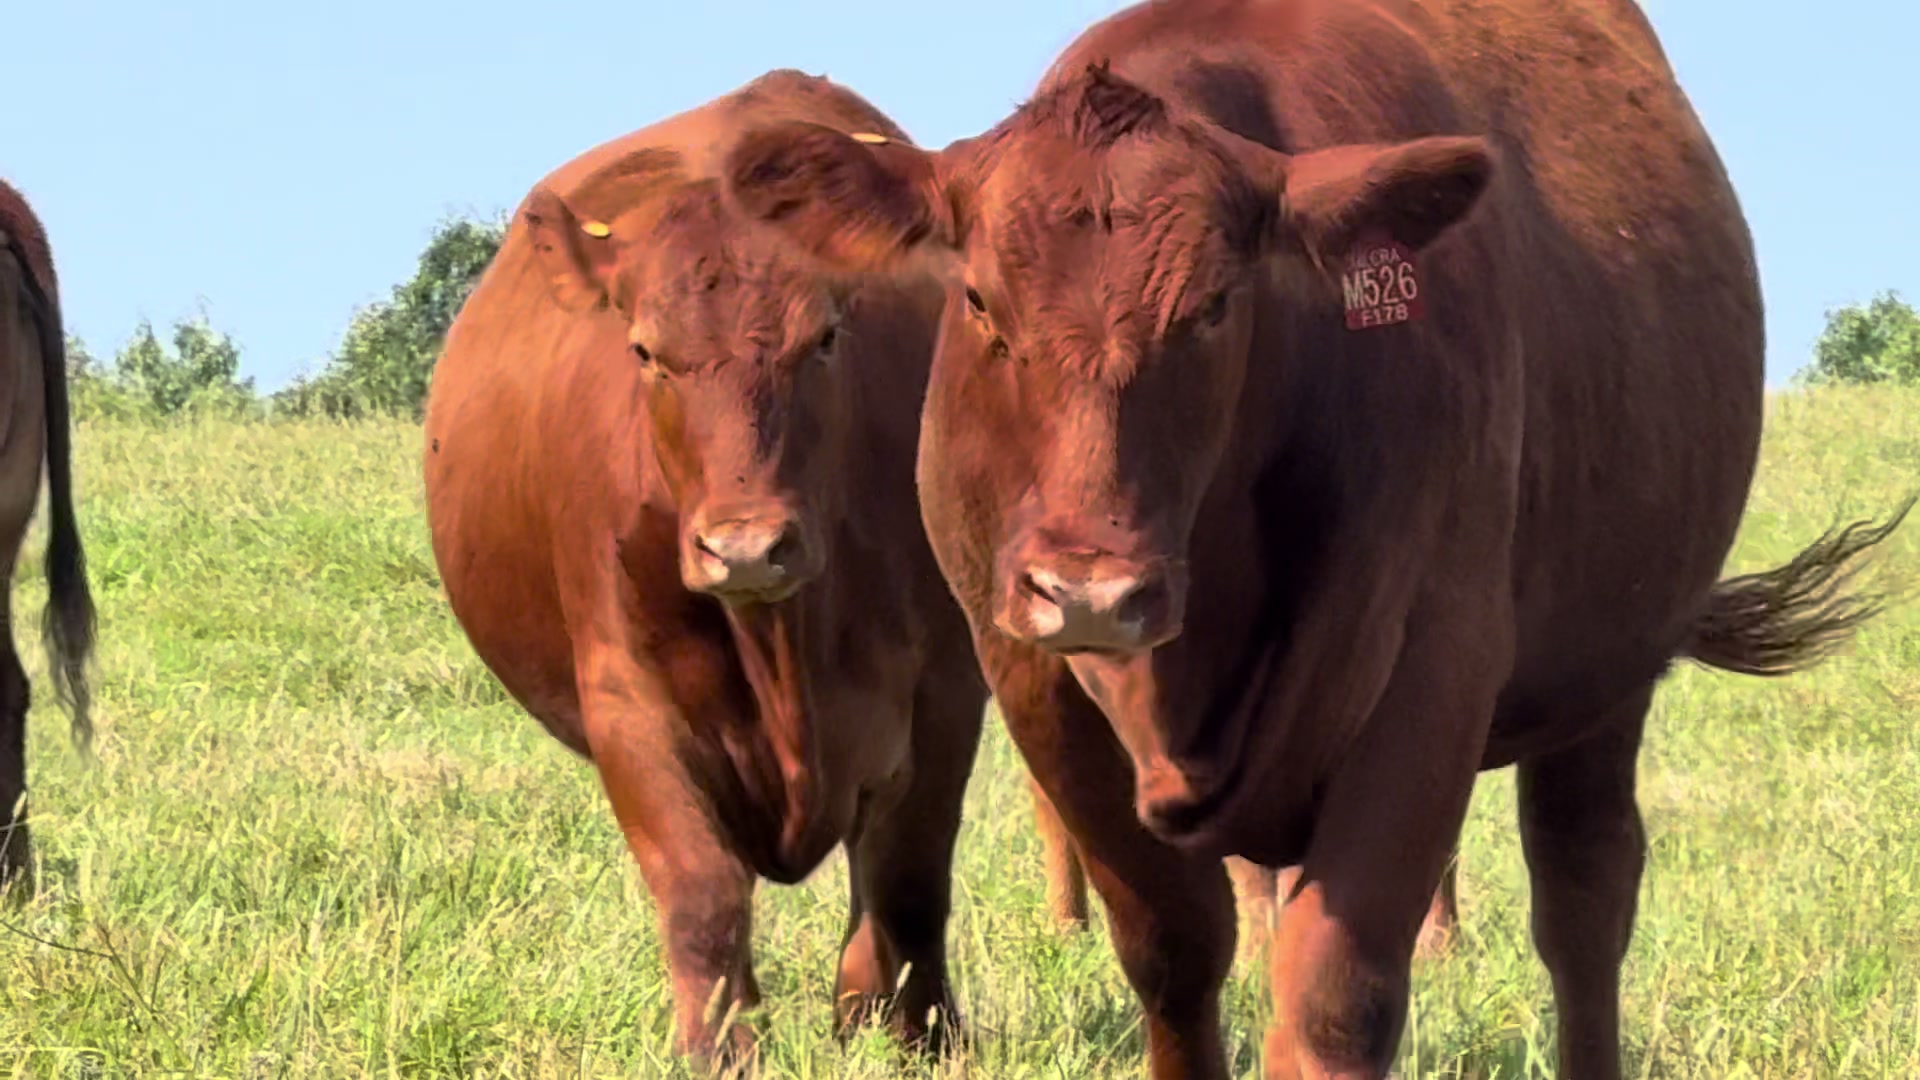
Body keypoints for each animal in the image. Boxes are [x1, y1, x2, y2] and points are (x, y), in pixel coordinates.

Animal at [421, 71, 991, 1065]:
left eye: (827, 338)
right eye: (646, 351)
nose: (745, 547)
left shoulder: (946, 694)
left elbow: (910, 889)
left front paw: (917, 1039)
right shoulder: (630, 704)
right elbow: (702, 896)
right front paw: (716, 1051)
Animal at [718, 2, 1913, 1077]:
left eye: (1214, 307)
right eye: (975, 299)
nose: (1091, 589)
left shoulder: (1431, 675)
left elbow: (1337, 998)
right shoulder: (1035, 685)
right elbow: (1173, 955)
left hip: (1608, 676)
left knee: (1584, 901)